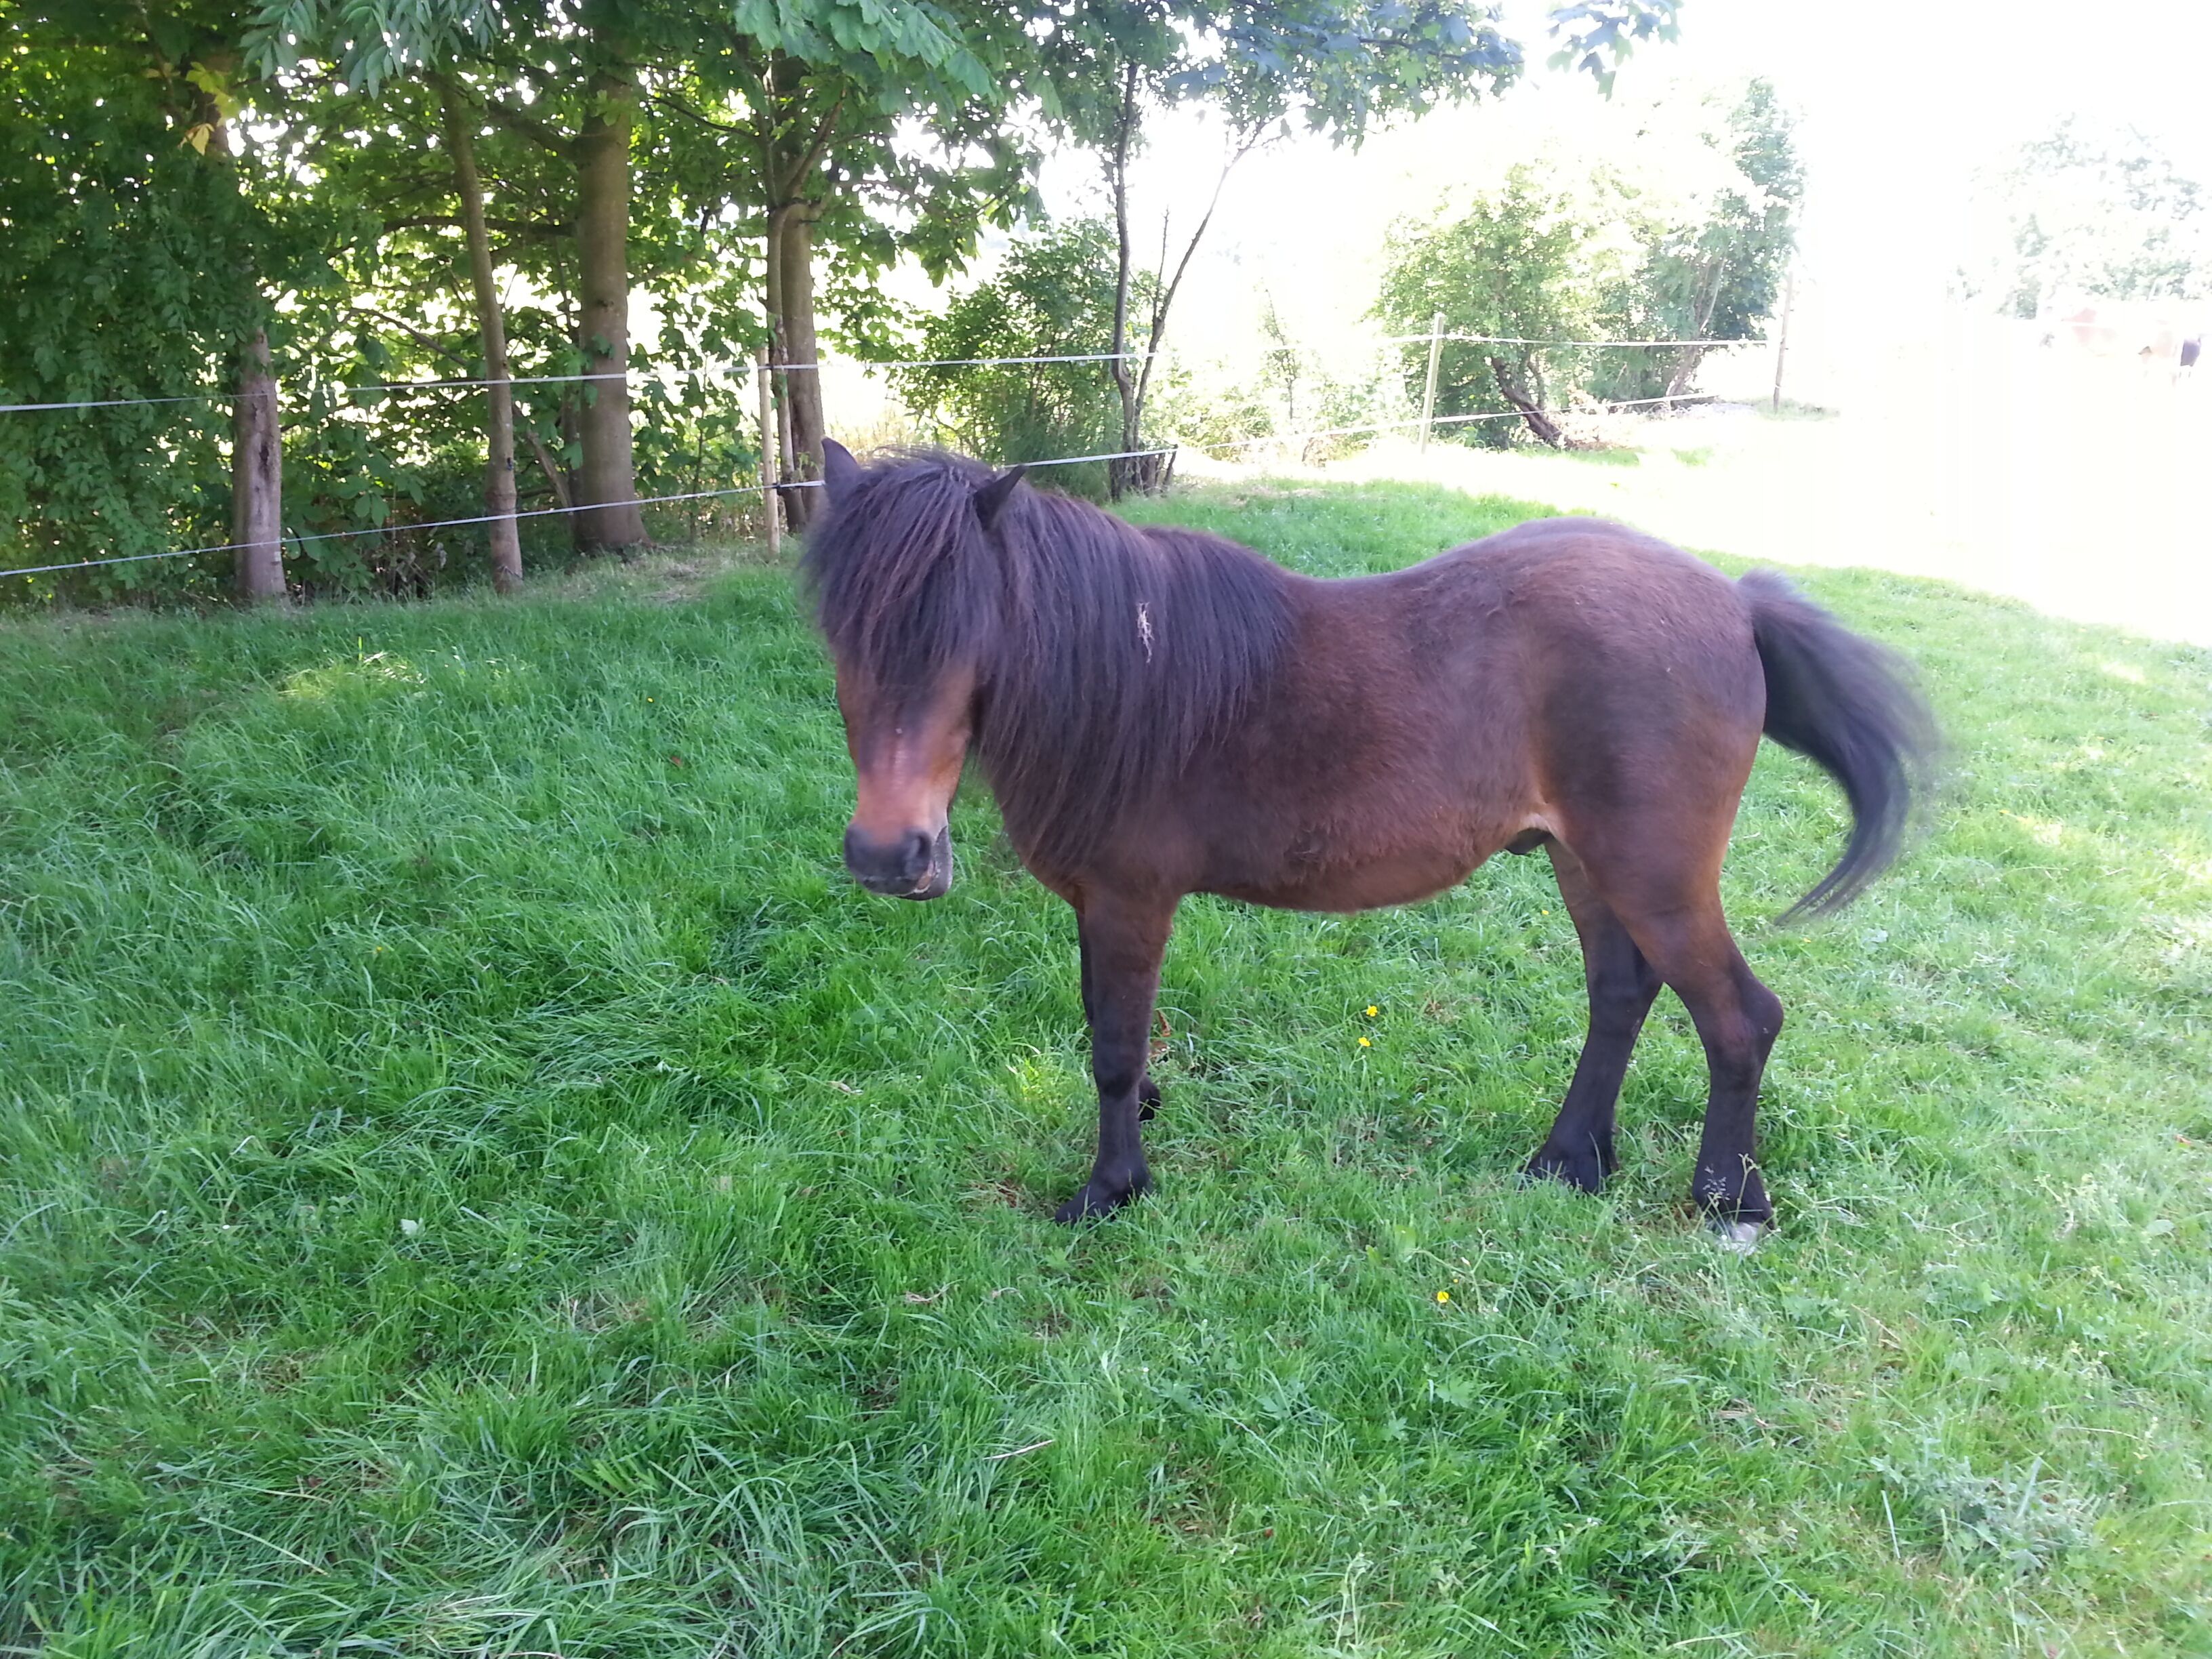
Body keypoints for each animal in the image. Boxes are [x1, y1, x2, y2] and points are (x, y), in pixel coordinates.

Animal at [804, 440, 1935, 1242]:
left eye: (964, 633)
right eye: (839, 635)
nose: (887, 855)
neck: (1124, 673)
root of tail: (1735, 604)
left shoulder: (1130, 900)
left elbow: (1115, 1051)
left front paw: (1112, 1189)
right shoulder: (1100, 906)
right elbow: (1108, 1029)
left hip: (1655, 874)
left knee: (1741, 1019)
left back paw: (1728, 1202)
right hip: (1585, 862)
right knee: (1621, 995)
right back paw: (1570, 1159)